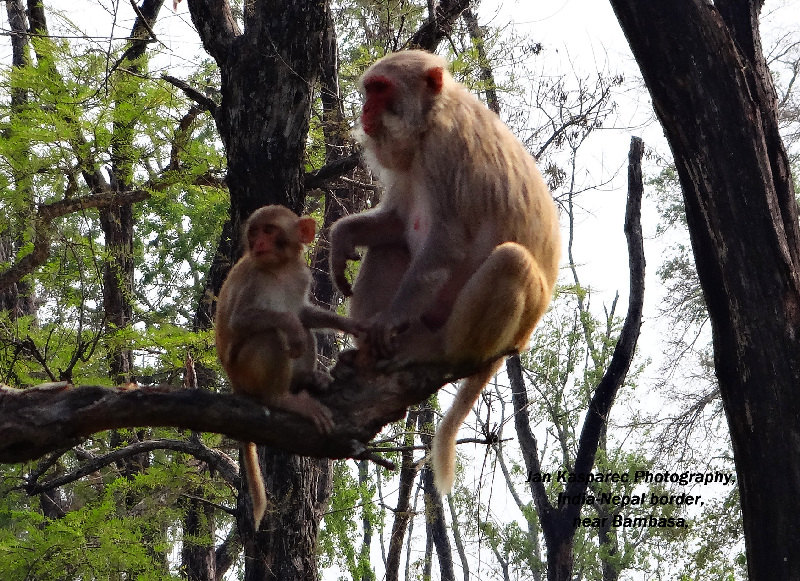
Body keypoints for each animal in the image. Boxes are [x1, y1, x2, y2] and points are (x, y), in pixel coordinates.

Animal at [216, 204, 360, 524]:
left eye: (269, 230)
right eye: (254, 232)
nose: (258, 243)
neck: (280, 268)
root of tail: (234, 383)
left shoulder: (301, 276)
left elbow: (304, 313)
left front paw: (351, 325)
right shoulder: (254, 278)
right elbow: (244, 321)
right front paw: (290, 325)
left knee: (305, 333)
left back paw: (307, 380)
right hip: (246, 372)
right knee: (272, 335)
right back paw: (282, 398)